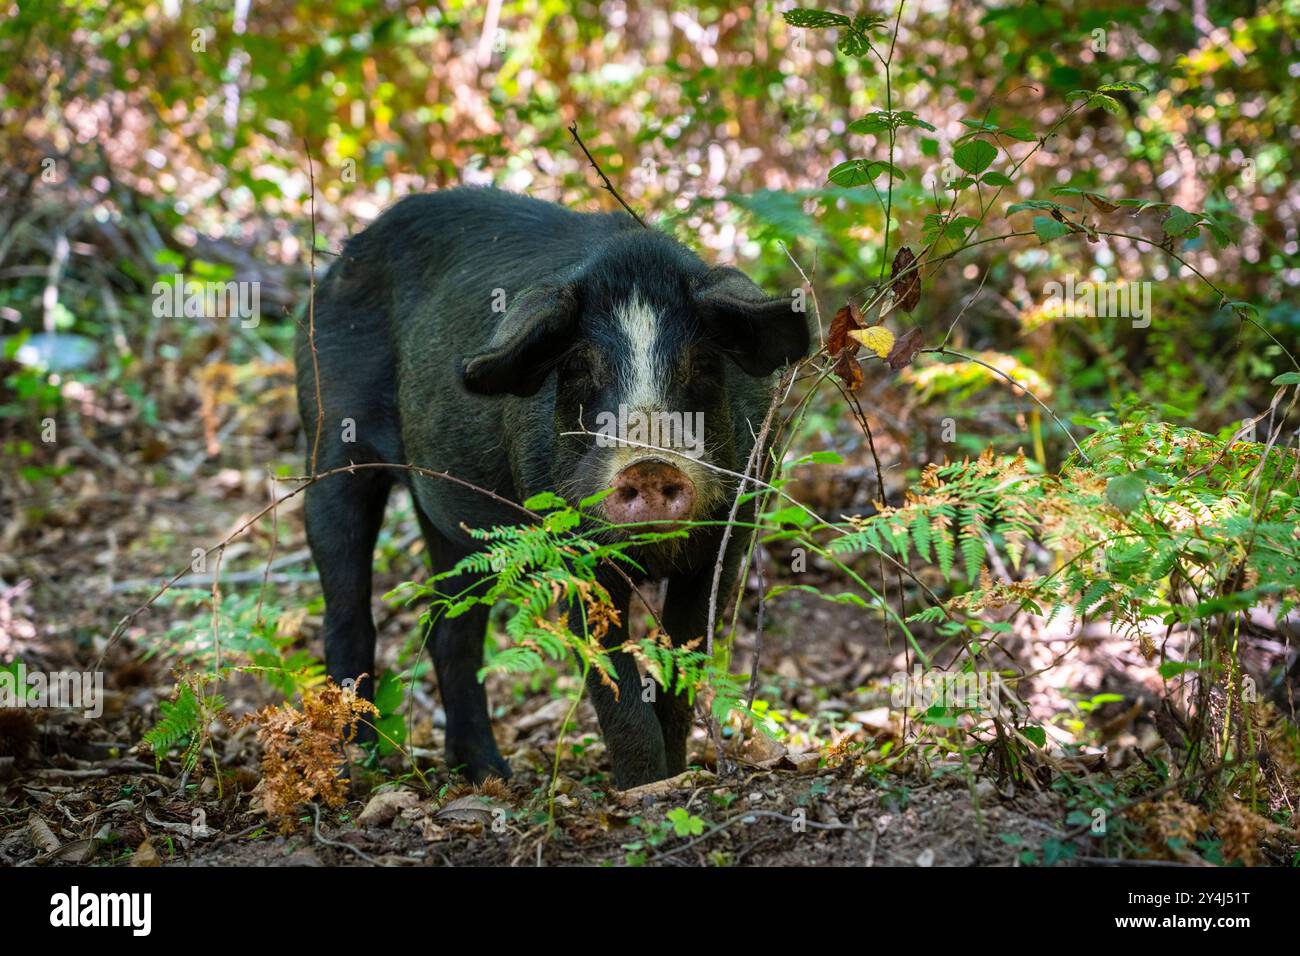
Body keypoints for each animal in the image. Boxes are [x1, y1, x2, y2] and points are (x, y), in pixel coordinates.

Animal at [297, 187, 806, 785]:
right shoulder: (571, 546)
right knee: (348, 608)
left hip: (453, 523)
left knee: (451, 634)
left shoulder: (732, 531)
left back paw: (489, 774)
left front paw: (675, 778)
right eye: (581, 365)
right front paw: (642, 789)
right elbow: (613, 684)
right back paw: (358, 768)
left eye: (701, 361)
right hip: (328, 437)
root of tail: (340, 263)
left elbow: (683, 668)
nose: (649, 465)